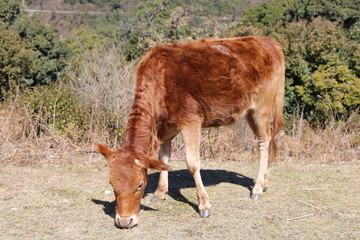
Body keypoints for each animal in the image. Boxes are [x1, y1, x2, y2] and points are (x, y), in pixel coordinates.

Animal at [97, 36, 286, 229]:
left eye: (140, 185)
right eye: (111, 183)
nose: (124, 221)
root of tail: (269, 41)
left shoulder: (191, 121)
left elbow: (193, 163)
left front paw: (204, 204)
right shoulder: (166, 127)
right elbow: (163, 158)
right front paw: (160, 192)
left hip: (262, 108)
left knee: (264, 142)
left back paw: (257, 188)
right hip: (250, 111)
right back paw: (264, 181)